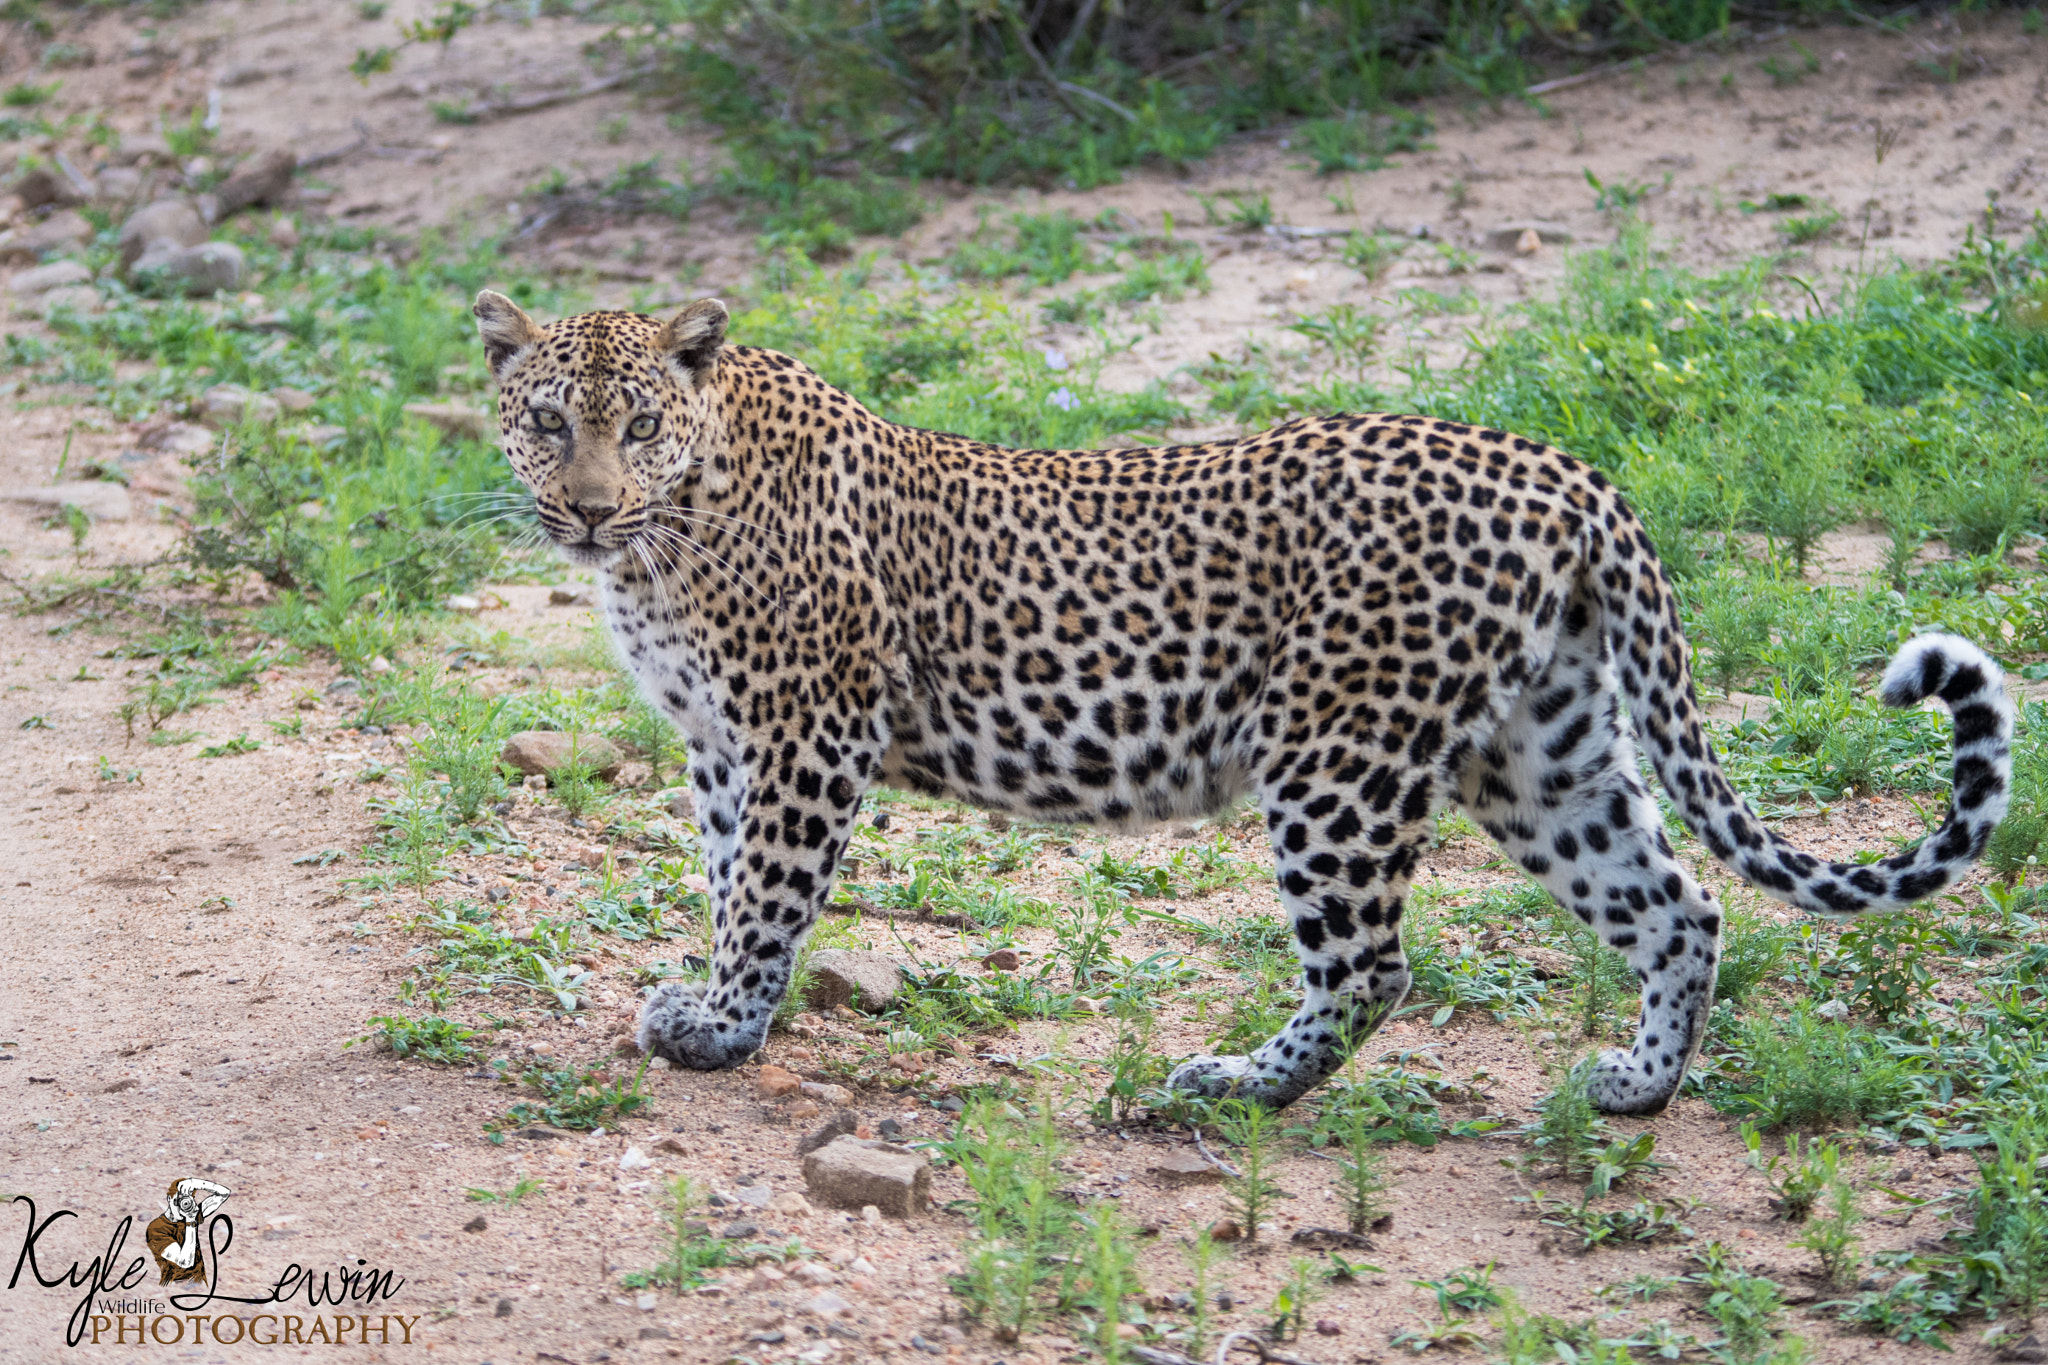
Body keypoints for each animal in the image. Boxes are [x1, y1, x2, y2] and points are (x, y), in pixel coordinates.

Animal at [475, 294, 2015, 1113]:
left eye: (639, 424)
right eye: (549, 421)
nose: (587, 508)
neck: (668, 537)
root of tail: (1562, 469)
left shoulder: (804, 731)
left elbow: (766, 892)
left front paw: (723, 1027)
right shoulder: (718, 742)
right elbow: (729, 875)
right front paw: (722, 1005)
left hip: (1339, 758)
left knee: (1374, 965)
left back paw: (1236, 1084)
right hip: (1538, 752)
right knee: (1676, 902)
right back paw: (1637, 1087)